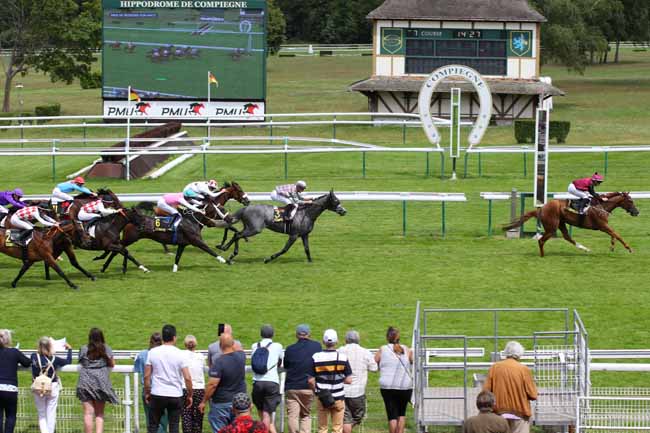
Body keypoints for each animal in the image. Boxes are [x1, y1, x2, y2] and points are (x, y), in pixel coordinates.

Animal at [218, 190, 346, 264]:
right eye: (336, 201)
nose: (344, 211)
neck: (306, 213)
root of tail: (246, 208)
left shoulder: (304, 234)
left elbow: (307, 249)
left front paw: (310, 261)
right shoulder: (294, 235)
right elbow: (285, 249)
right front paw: (268, 259)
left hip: (249, 227)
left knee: (236, 234)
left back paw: (225, 248)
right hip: (255, 229)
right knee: (238, 234)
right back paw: (231, 255)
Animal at [502, 191, 636, 255]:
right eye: (630, 201)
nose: (637, 212)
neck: (602, 205)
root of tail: (542, 208)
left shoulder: (604, 226)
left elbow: (614, 235)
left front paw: (612, 247)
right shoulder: (602, 225)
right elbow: (617, 234)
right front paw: (629, 248)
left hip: (561, 223)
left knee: (567, 237)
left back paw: (585, 249)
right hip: (552, 227)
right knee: (541, 240)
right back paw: (542, 255)